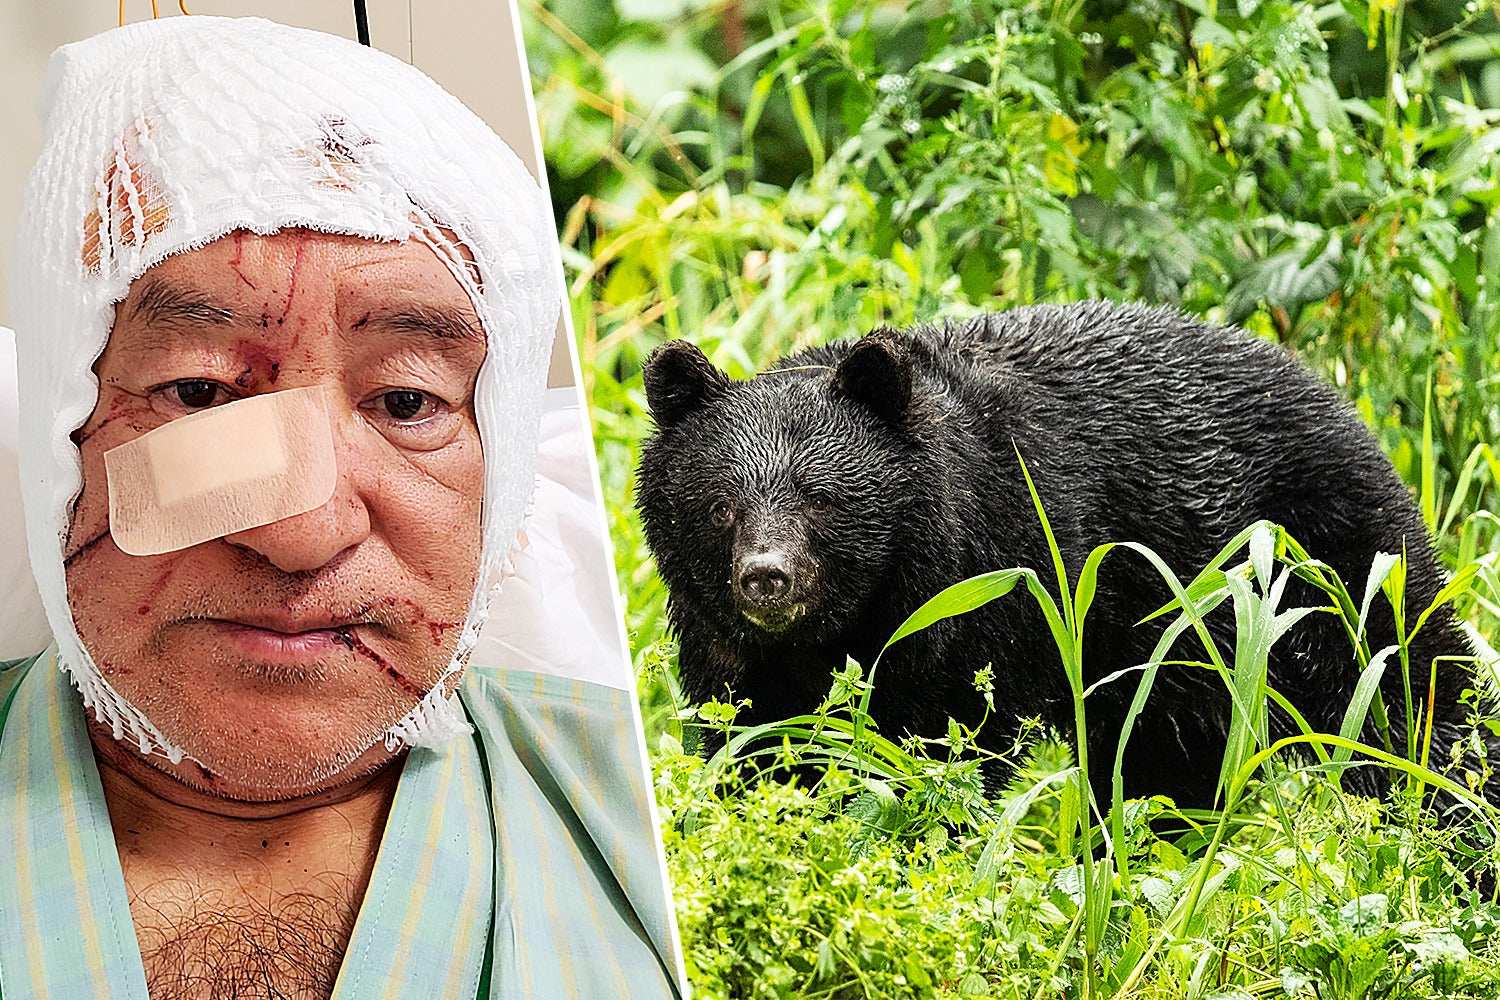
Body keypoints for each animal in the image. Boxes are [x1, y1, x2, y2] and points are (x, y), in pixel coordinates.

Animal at [636, 301, 1482, 810]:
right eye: (720, 506)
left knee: (1416, 698)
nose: (766, 579)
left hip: (1327, 566)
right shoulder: (737, 656)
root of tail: (1343, 401)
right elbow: (756, 746)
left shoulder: (993, 594)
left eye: (821, 499)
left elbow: (949, 743)